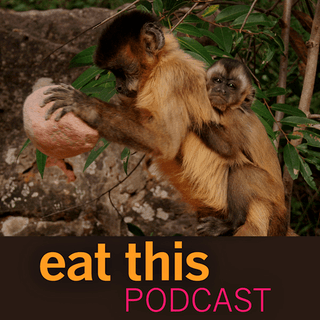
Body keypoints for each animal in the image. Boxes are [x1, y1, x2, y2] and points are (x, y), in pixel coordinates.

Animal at [41, 10, 294, 235]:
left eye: (121, 71)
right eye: (113, 73)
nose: (117, 87)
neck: (163, 62)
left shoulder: (169, 79)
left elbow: (166, 142)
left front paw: (86, 107)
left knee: (242, 172)